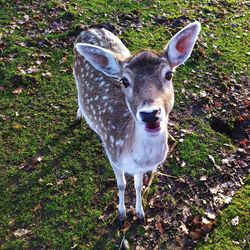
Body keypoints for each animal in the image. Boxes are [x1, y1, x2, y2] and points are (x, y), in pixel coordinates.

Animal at [73, 21, 201, 221]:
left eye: (169, 75)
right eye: (124, 81)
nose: (150, 114)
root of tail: (89, 30)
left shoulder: (142, 168)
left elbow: (138, 185)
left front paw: (140, 213)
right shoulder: (112, 155)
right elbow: (121, 184)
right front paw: (121, 213)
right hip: (75, 75)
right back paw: (80, 114)